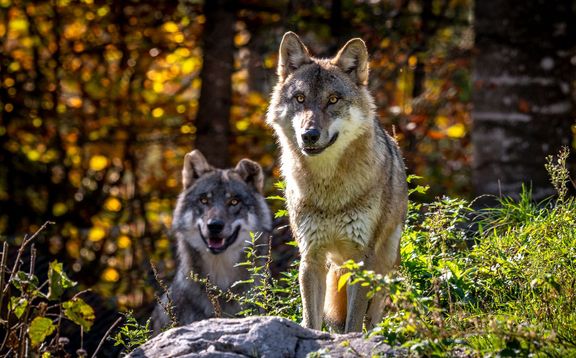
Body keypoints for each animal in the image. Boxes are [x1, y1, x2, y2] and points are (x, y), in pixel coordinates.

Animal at [266, 32, 410, 332]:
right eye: (300, 98)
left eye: (333, 99)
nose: (309, 135)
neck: (329, 191)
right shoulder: (311, 256)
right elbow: (312, 320)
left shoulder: (362, 260)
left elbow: (353, 322)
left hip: (384, 264)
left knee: (373, 315)